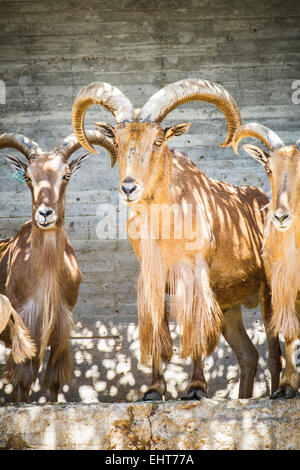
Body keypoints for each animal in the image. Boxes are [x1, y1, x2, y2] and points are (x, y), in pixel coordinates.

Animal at [0, 129, 116, 400]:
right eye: (29, 177)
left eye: (66, 174)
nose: (45, 214)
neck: (48, 274)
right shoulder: (25, 324)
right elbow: (22, 380)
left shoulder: (61, 326)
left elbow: (53, 379)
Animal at [71, 79, 282, 398]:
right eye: (117, 142)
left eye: (158, 141)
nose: (129, 188)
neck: (165, 227)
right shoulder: (153, 278)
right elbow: (157, 328)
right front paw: (154, 389)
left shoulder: (195, 277)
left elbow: (195, 329)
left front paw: (196, 388)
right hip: (229, 305)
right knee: (248, 355)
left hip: (267, 291)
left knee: (273, 351)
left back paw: (279, 392)